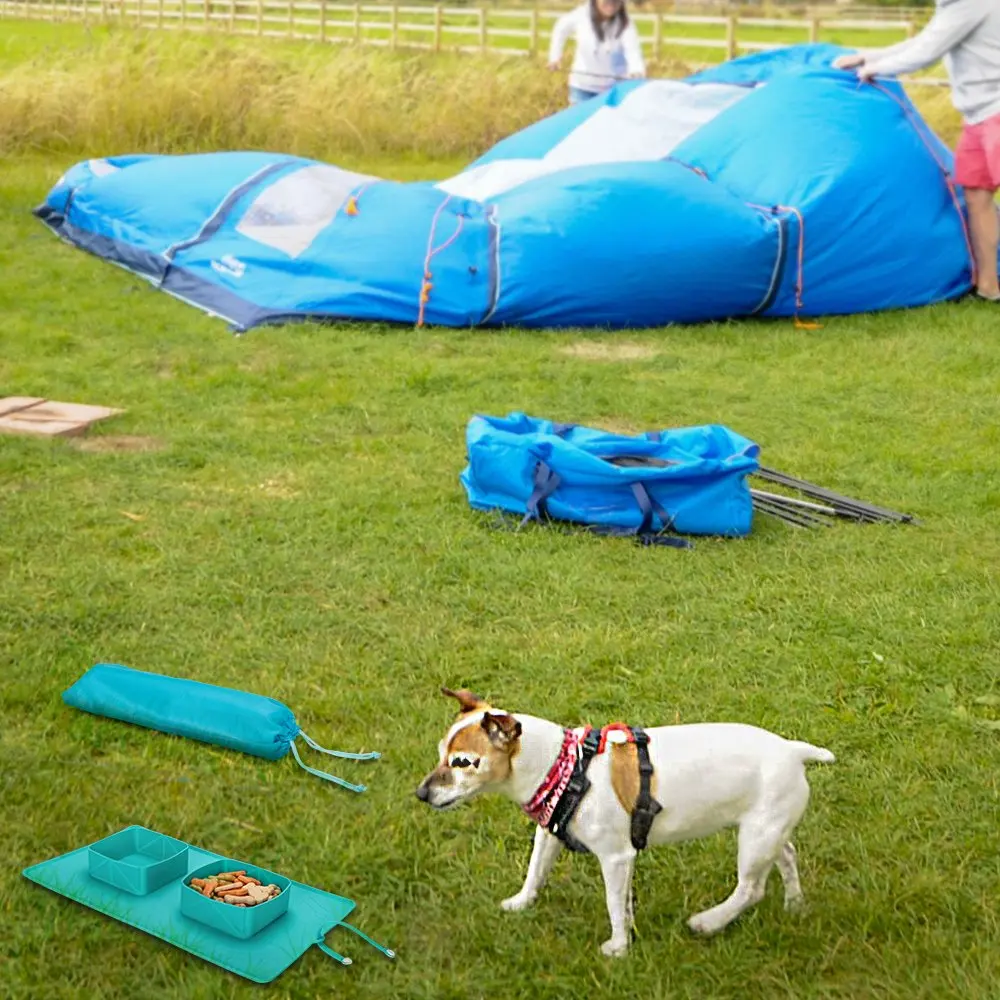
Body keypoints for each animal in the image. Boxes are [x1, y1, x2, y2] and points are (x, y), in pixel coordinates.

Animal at [414, 688, 836, 952]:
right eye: (440, 753)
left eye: (463, 762)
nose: (420, 794)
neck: (563, 766)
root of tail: (793, 750)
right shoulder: (548, 836)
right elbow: (535, 871)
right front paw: (521, 903)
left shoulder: (616, 858)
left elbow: (614, 904)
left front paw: (618, 946)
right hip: (767, 830)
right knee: (788, 856)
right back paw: (795, 903)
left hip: (755, 840)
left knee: (750, 889)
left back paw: (709, 921)